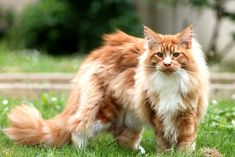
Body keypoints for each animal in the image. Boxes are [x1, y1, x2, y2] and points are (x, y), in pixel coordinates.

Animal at [5, 25, 207, 154]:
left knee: (123, 137)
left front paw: (182, 153)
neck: (169, 81)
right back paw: (83, 151)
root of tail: (99, 52)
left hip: (130, 115)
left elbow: (185, 140)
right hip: (104, 109)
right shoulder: (158, 113)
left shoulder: (187, 113)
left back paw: (137, 152)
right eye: (159, 54)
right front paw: (165, 153)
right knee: (77, 127)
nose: (167, 64)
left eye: (176, 54)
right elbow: (164, 141)